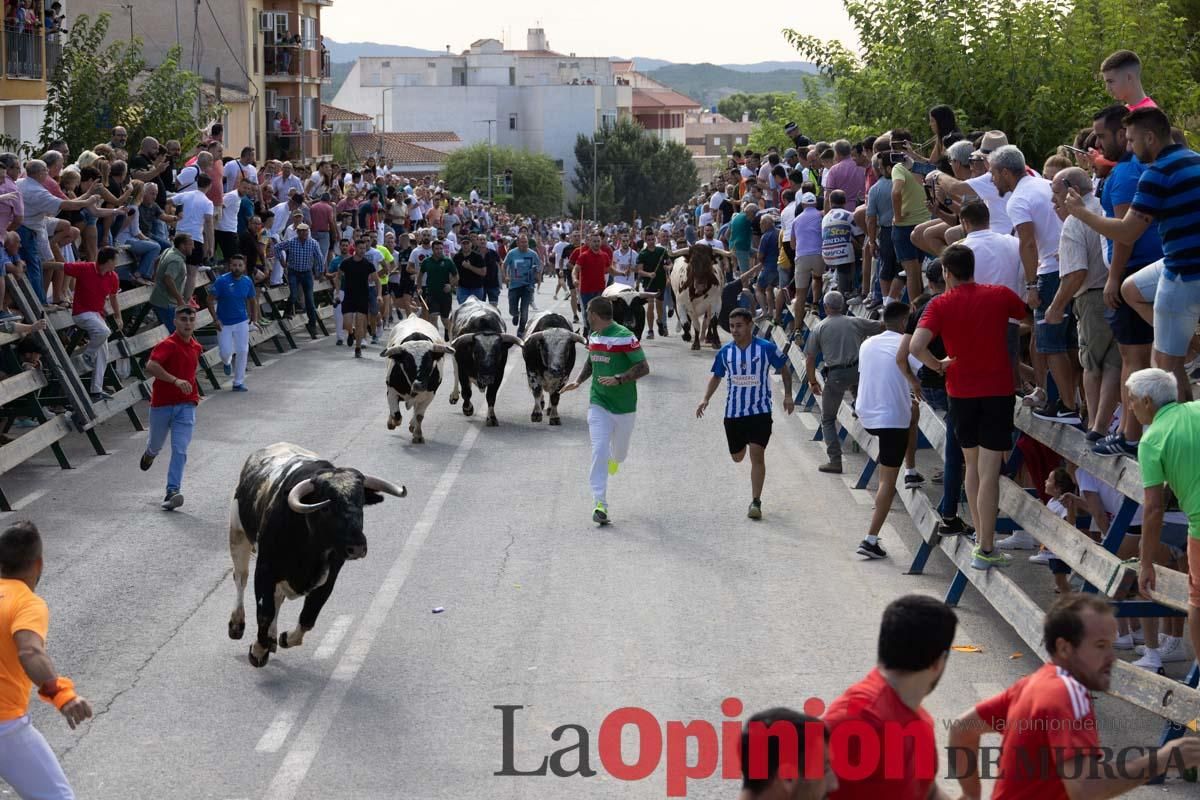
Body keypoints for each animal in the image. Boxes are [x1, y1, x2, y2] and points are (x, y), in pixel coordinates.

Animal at [225, 443, 408, 671]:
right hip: (238, 534)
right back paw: (237, 624)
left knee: (278, 597)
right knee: (241, 578)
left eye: (361, 503)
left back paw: (273, 638)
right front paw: (258, 650)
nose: (357, 547)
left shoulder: (329, 577)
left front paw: (284, 638)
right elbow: (264, 611)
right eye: (327, 507)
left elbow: (308, 617)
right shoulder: (265, 568)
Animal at [448, 297, 523, 429]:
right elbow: (466, 391)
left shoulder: (498, 373)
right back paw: (454, 395)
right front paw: (467, 409)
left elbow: (491, 396)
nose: (486, 377)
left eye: (498, 353)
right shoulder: (462, 369)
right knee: (455, 373)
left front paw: (492, 418)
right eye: (476, 352)